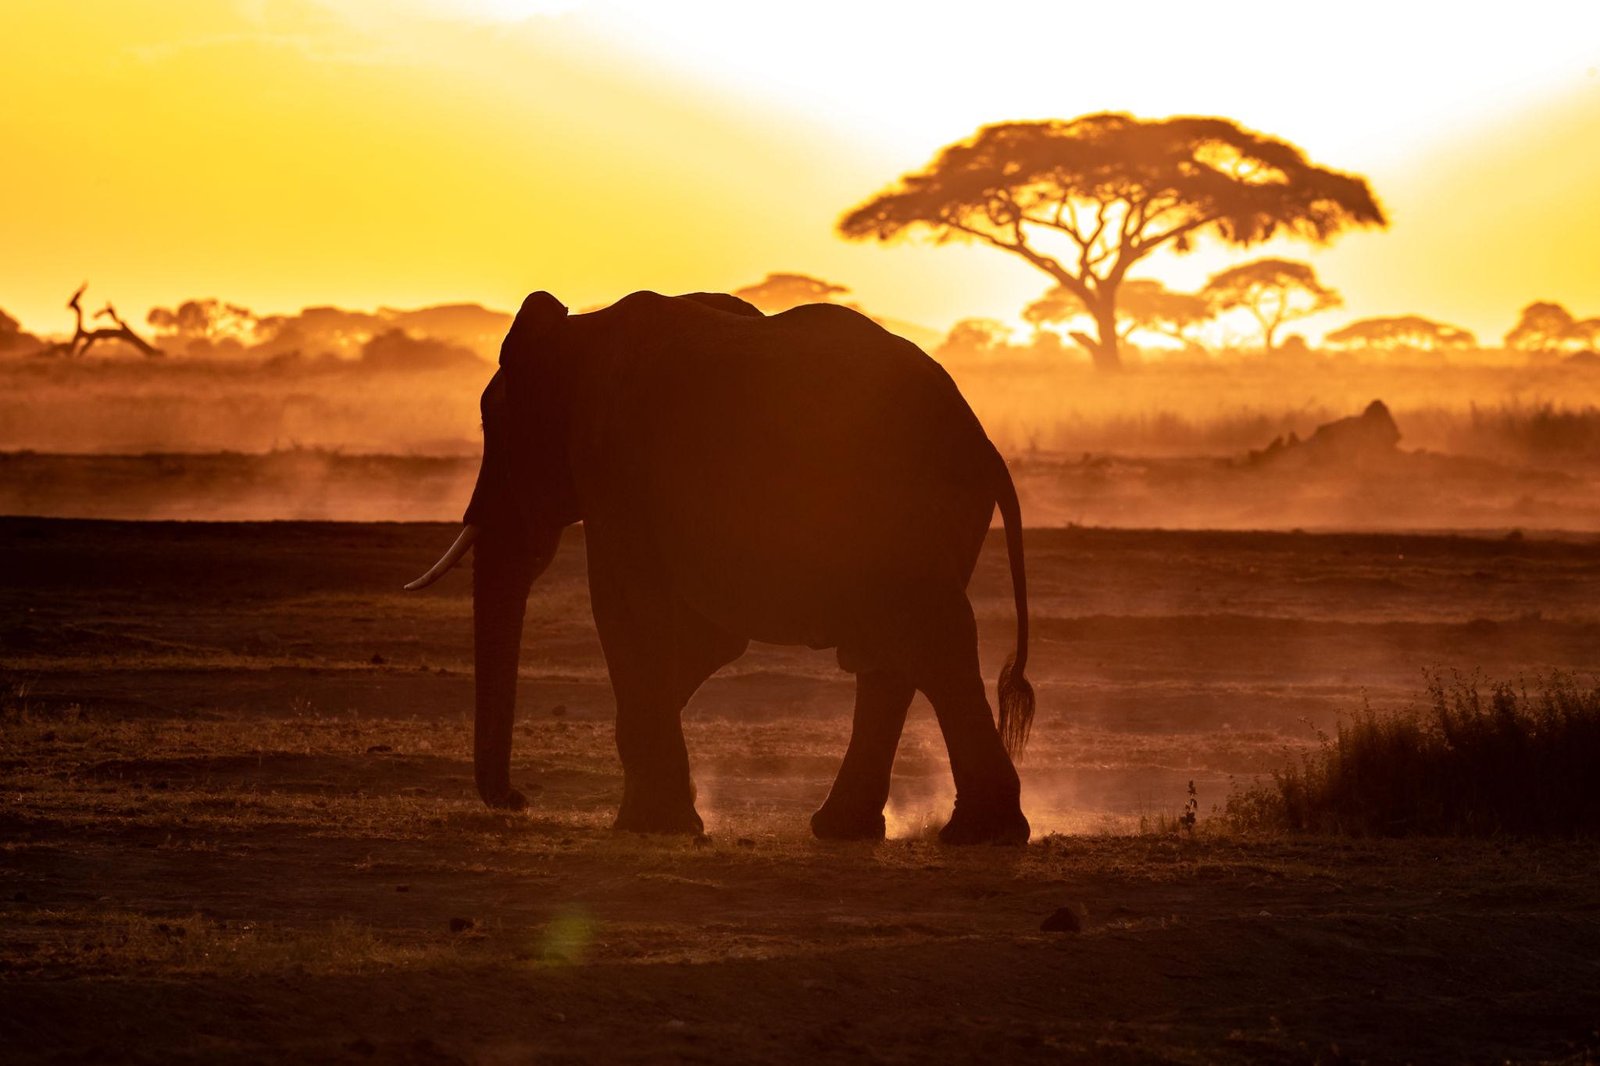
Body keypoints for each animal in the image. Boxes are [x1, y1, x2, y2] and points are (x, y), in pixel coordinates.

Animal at [406, 289, 1035, 844]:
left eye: (492, 427)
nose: (518, 800)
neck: (578, 330)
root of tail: (982, 442)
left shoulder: (614, 469)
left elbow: (628, 607)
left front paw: (653, 824)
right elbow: (707, 637)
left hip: (899, 506)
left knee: (930, 639)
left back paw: (980, 834)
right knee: (897, 650)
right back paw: (851, 830)